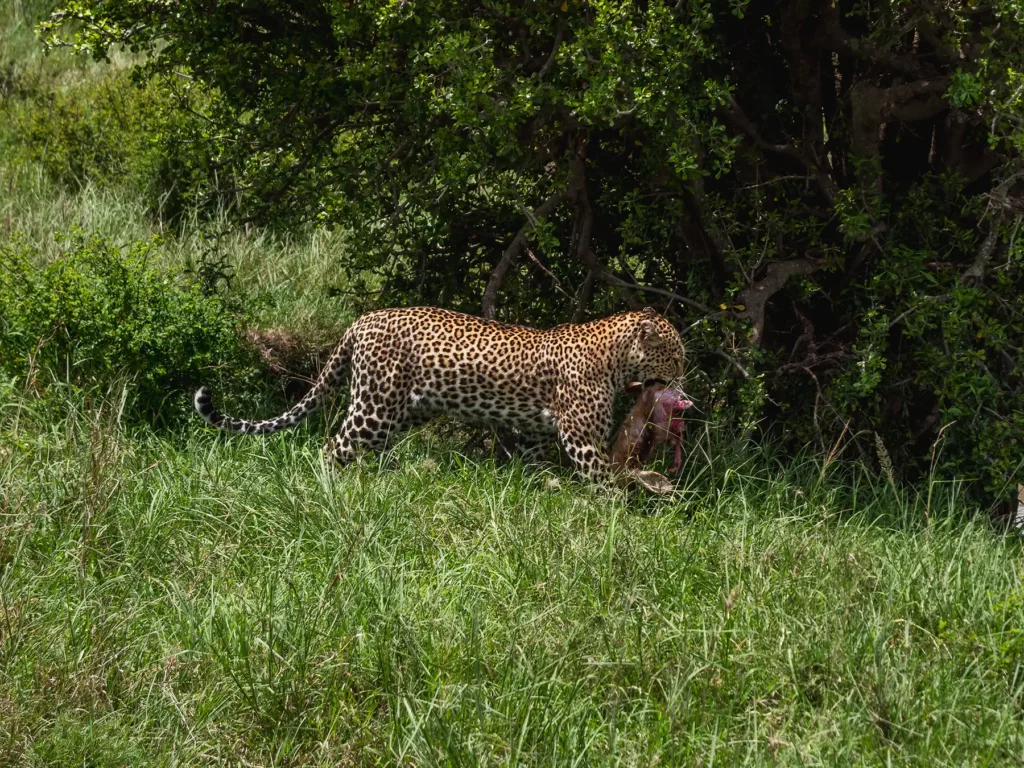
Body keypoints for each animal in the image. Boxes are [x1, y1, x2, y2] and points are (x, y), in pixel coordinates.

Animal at [194, 306, 686, 484]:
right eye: (676, 357)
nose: (685, 380)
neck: (616, 359)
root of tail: (361, 321)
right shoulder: (581, 437)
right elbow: (603, 479)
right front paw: (620, 516)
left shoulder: (536, 435)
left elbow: (531, 463)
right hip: (373, 405)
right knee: (334, 445)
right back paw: (331, 489)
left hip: (402, 413)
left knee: (366, 450)